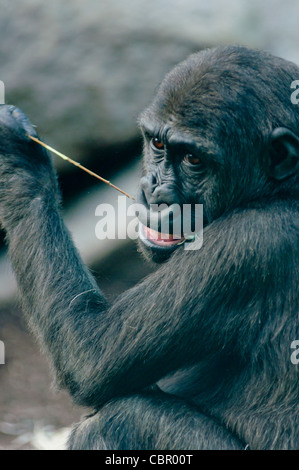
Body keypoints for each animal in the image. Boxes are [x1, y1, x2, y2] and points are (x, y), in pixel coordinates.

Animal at [0, 46, 299, 450]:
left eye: (193, 159)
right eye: (157, 145)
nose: (154, 190)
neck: (276, 190)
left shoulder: (251, 244)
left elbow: (92, 357)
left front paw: (18, 155)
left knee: (125, 418)